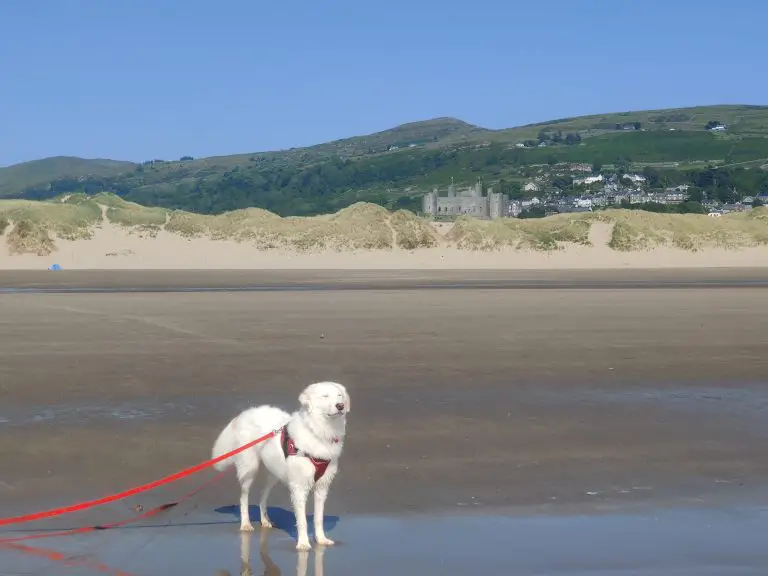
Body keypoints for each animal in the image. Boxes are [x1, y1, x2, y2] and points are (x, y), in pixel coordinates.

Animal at [213, 382, 352, 548]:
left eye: (339, 395)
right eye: (325, 396)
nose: (340, 406)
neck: (318, 431)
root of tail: (245, 414)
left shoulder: (322, 487)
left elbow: (318, 518)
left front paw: (321, 539)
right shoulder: (299, 487)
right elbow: (302, 520)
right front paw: (303, 544)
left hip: (274, 473)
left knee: (263, 495)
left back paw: (265, 520)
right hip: (249, 468)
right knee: (243, 497)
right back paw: (246, 524)